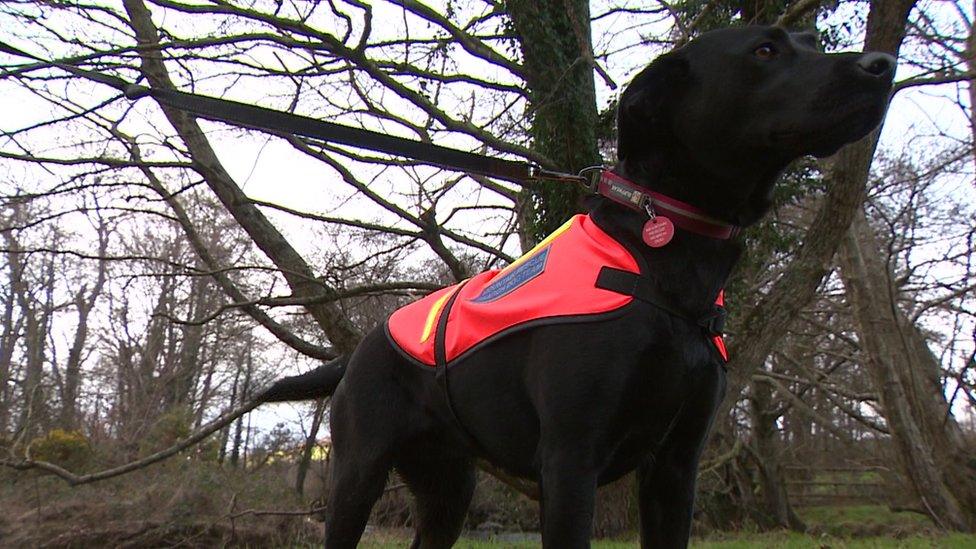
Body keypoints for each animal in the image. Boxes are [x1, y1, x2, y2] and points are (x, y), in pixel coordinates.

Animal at [260, 26, 892, 548]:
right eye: (764, 51)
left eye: (813, 42)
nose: (884, 64)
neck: (662, 260)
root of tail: (357, 350)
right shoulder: (570, 462)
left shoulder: (676, 468)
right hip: (358, 476)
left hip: (449, 491)